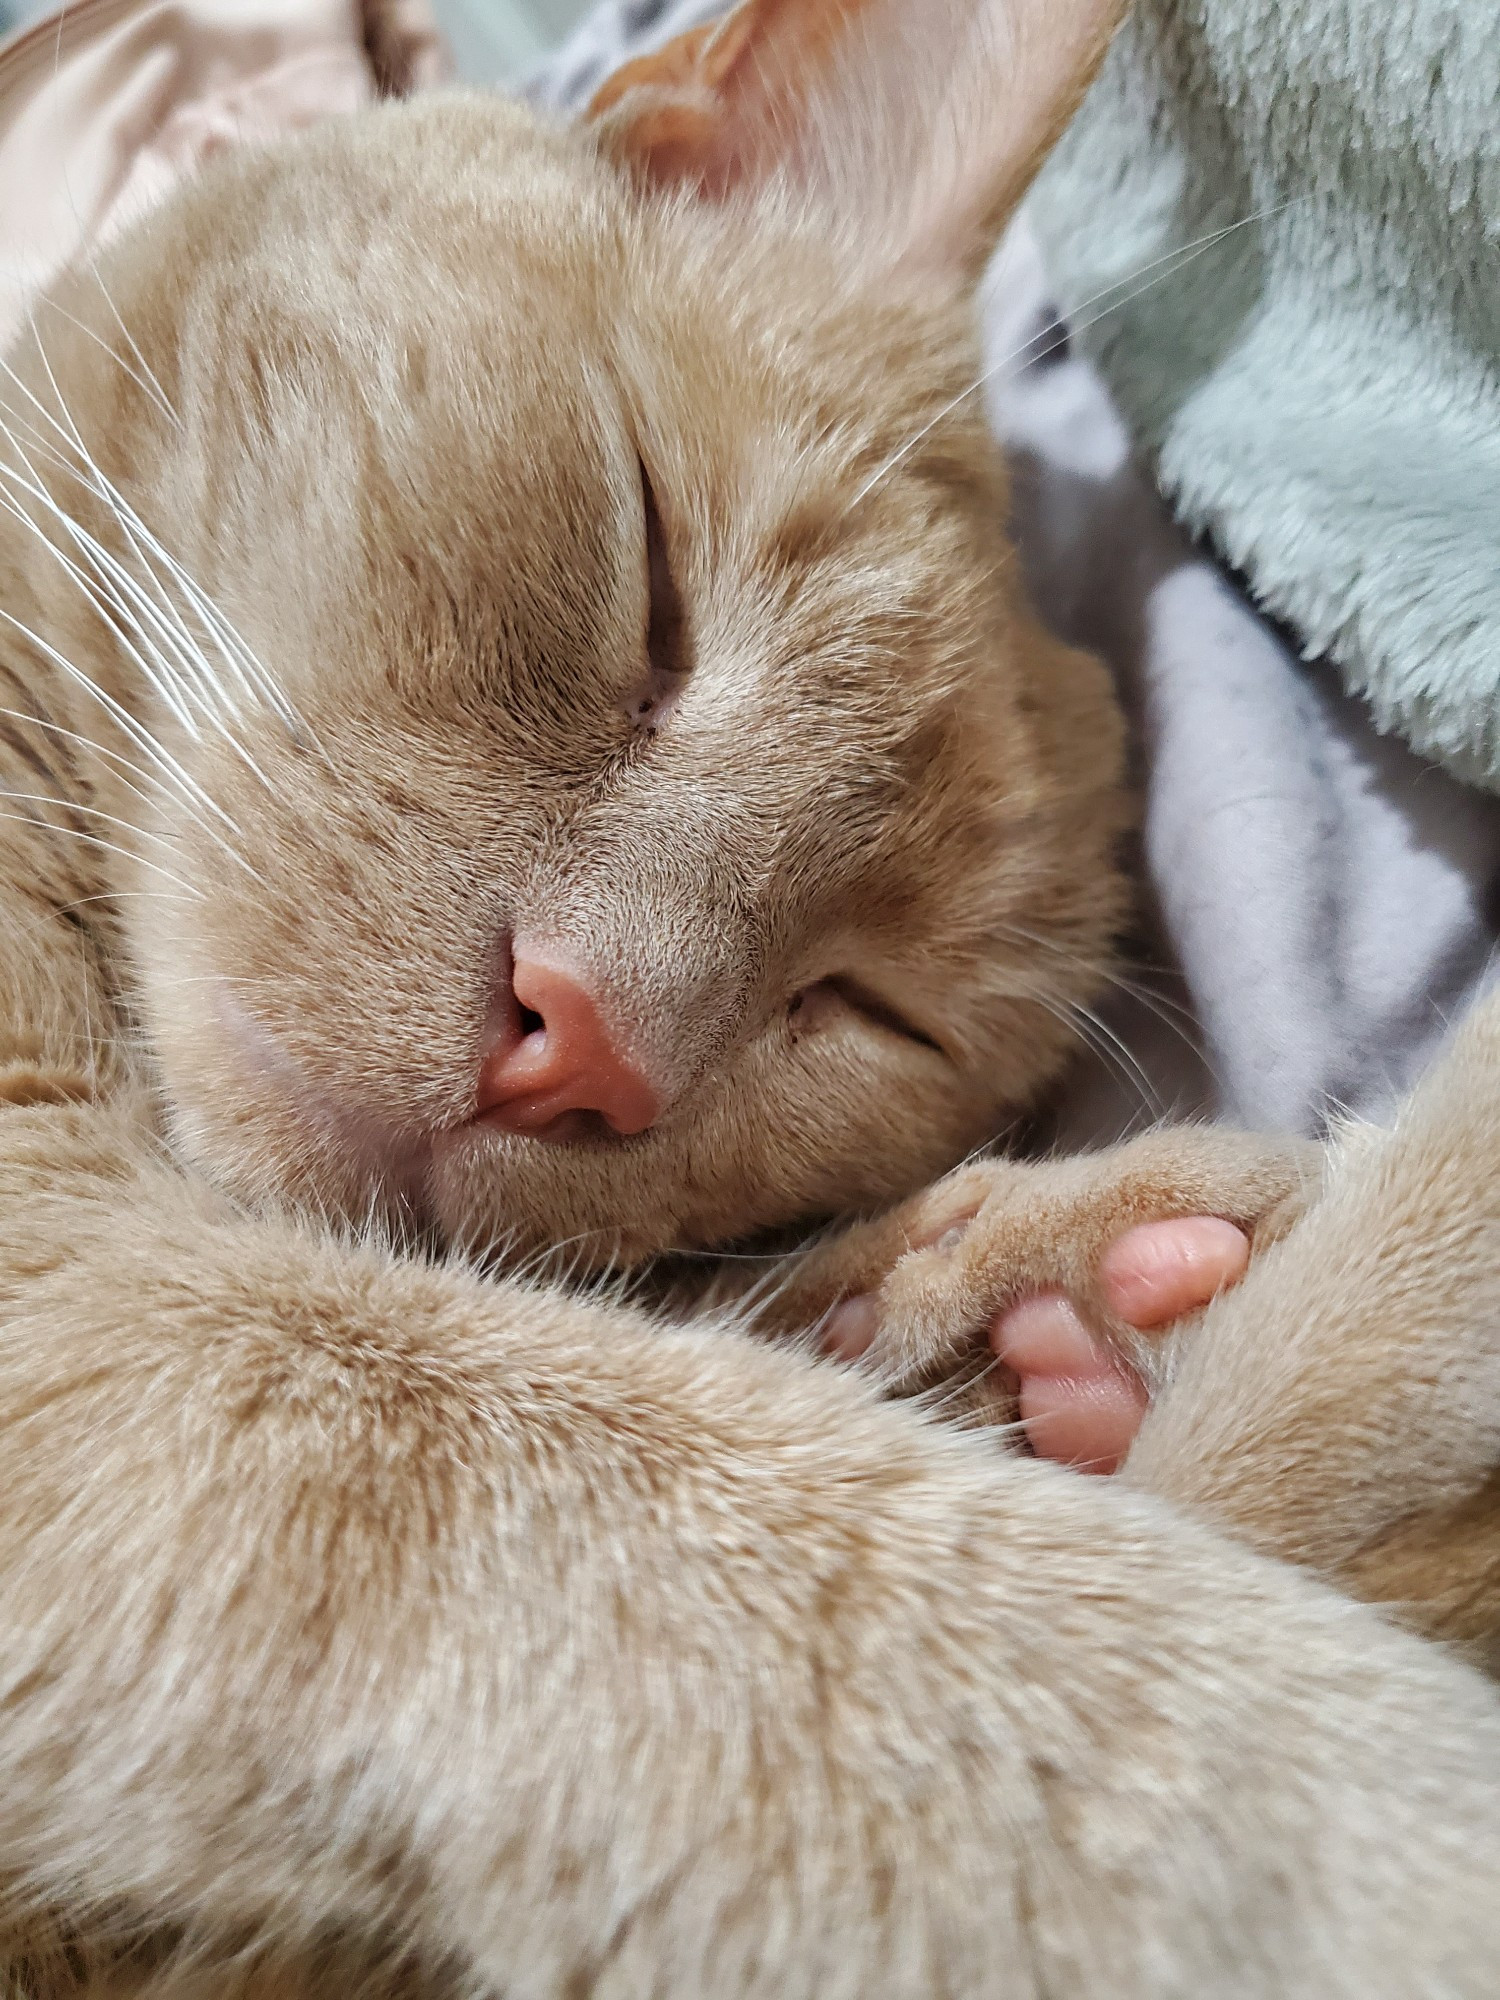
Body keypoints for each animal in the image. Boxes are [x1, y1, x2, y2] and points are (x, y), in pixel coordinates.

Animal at [2, 0, 1500, 1984]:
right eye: (654, 586)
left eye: (860, 1009)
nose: (584, 1037)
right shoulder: (107, 1314)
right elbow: (803, 1553)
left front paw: (1018, 1299)